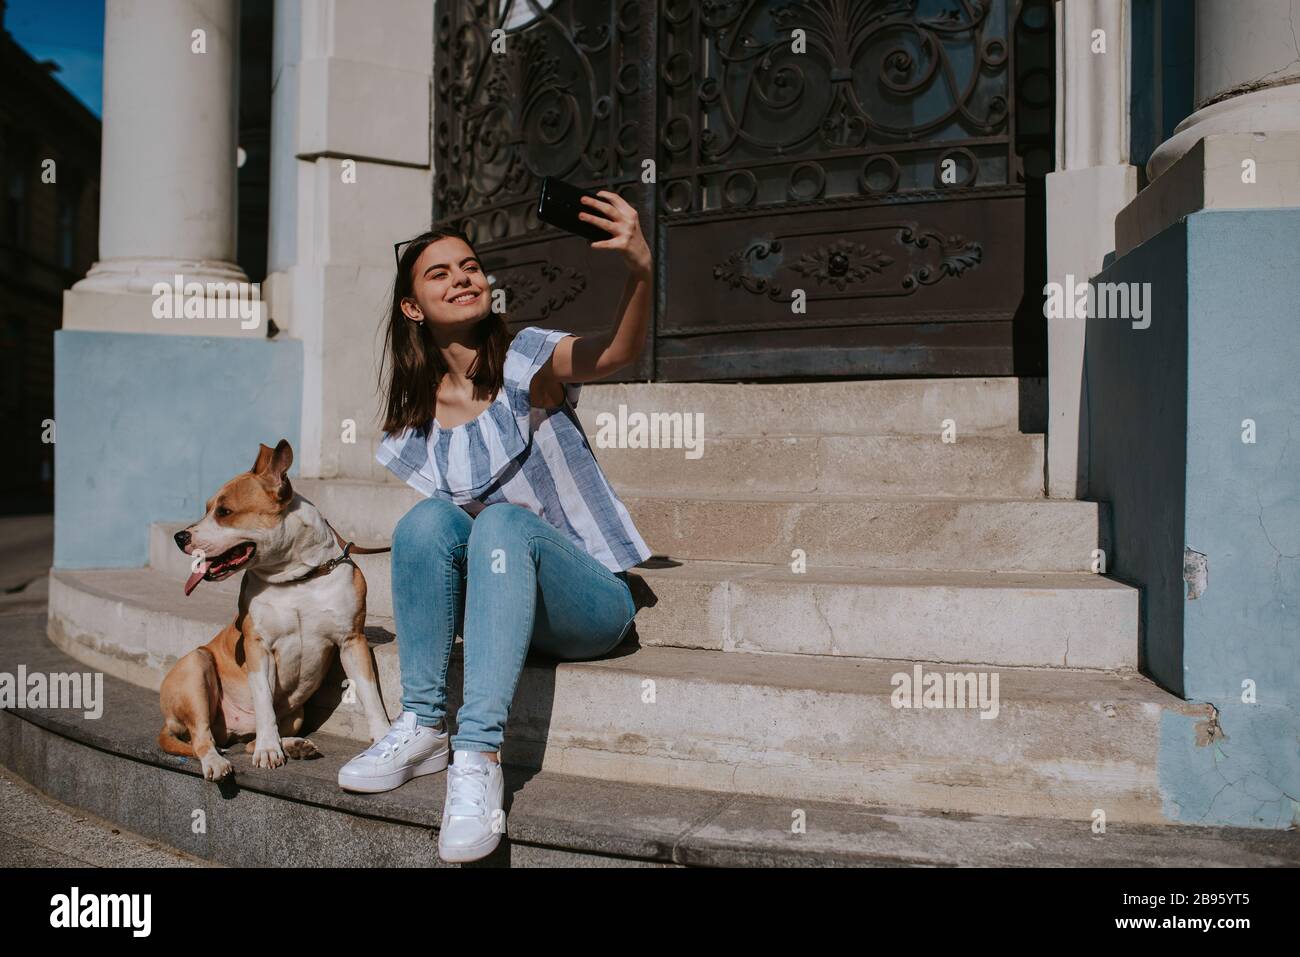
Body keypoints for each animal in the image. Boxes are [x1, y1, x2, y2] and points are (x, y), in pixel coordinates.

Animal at [157, 439, 390, 780]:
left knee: (249, 740)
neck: (296, 576)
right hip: (196, 665)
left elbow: (371, 695)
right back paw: (219, 761)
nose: (179, 536)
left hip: (295, 714)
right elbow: (264, 702)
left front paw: (385, 736)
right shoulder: (259, 648)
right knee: (203, 736)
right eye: (207, 508)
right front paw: (269, 750)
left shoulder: (352, 641)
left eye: (224, 512)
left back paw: (295, 745)